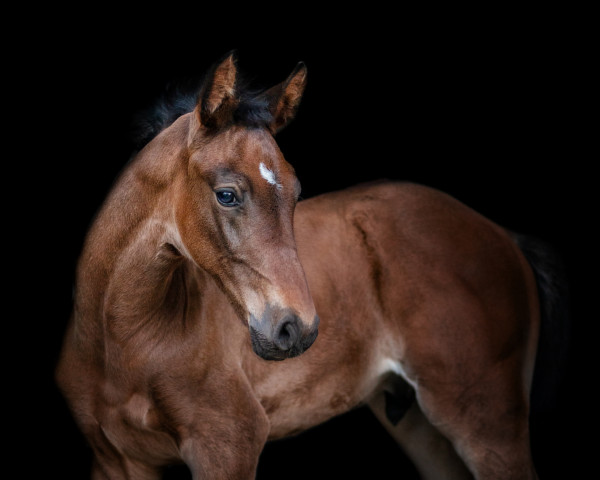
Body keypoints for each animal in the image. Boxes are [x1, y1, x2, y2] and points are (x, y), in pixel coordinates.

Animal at [57, 50, 572, 478]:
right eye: (227, 194)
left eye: (297, 191)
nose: (296, 329)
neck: (123, 344)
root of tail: (503, 235)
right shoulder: (114, 461)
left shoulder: (227, 444)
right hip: (420, 426)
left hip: (485, 419)